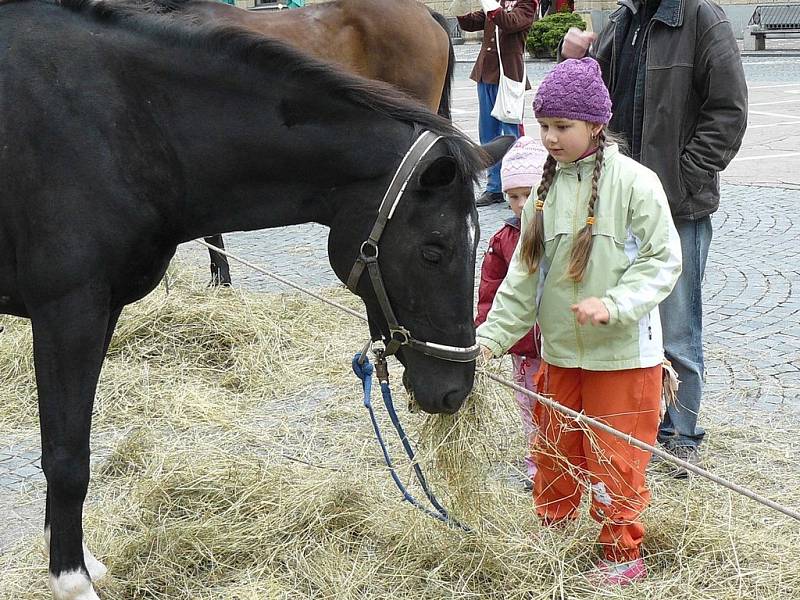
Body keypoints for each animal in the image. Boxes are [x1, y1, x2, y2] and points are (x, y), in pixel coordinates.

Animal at [0, 0, 512, 596]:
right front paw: (72, 579)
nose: (454, 392)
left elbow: (68, 437)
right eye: (435, 249)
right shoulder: (68, 311)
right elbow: (65, 455)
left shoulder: (99, 310)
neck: (121, 122)